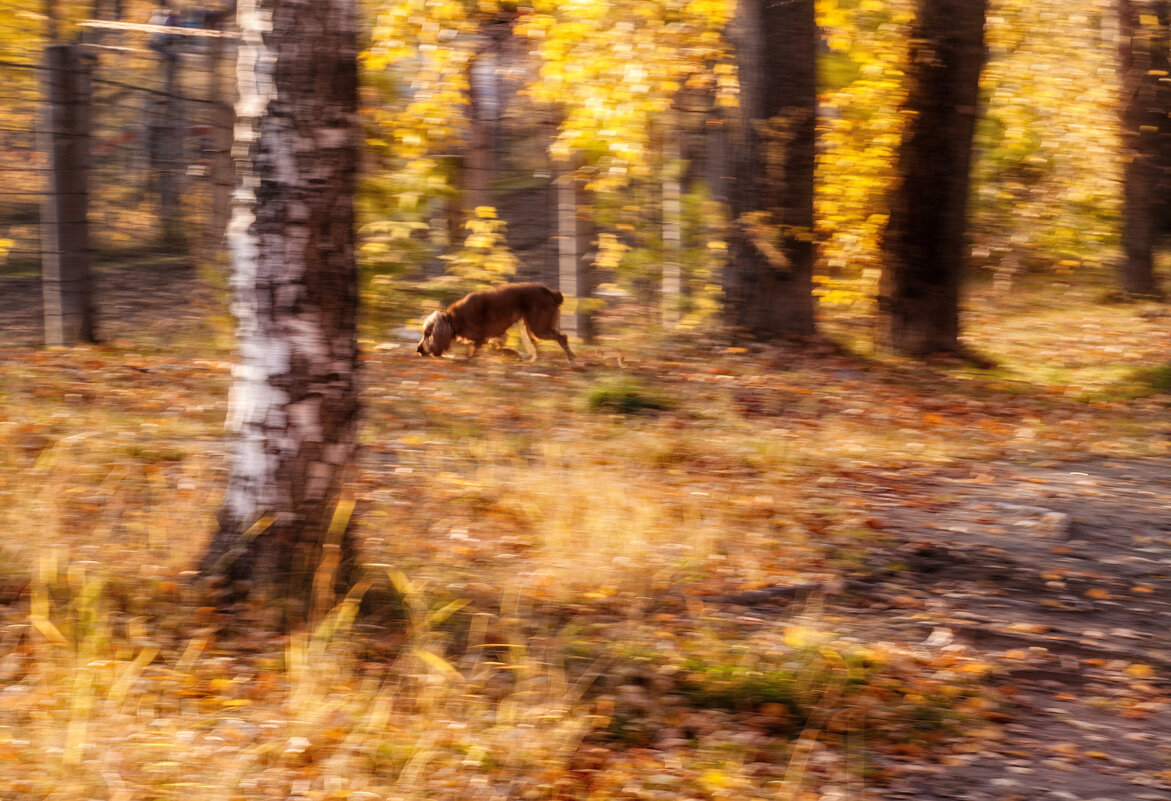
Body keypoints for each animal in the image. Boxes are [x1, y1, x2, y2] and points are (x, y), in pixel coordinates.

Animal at [416, 283, 576, 365]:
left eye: (427, 334)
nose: (418, 350)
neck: (453, 320)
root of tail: (552, 293)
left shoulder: (482, 338)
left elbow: (478, 351)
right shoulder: (494, 336)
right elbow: (497, 348)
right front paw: (513, 354)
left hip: (539, 328)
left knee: (562, 337)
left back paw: (571, 358)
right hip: (530, 328)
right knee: (538, 345)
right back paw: (534, 359)